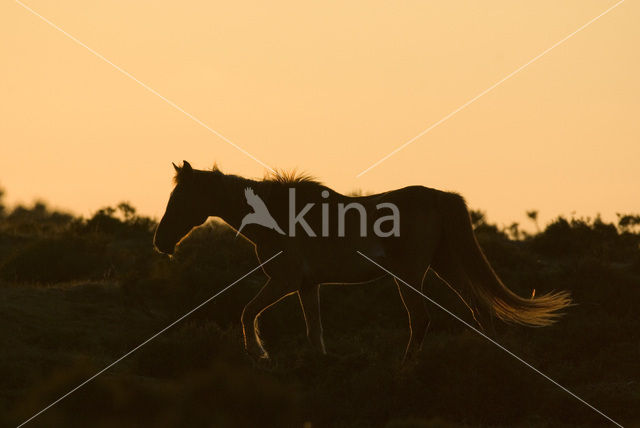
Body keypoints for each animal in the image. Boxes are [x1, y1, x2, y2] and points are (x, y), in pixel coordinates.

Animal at [154, 162, 568, 362]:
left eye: (179, 199)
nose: (160, 242)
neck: (277, 214)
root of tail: (440, 196)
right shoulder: (307, 286)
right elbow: (314, 331)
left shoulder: (284, 282)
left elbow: (246, 313)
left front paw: (259, 353)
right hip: (444, 265)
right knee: (478, 310)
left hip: (410, 275)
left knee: (421, 320)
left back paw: (405, 368)